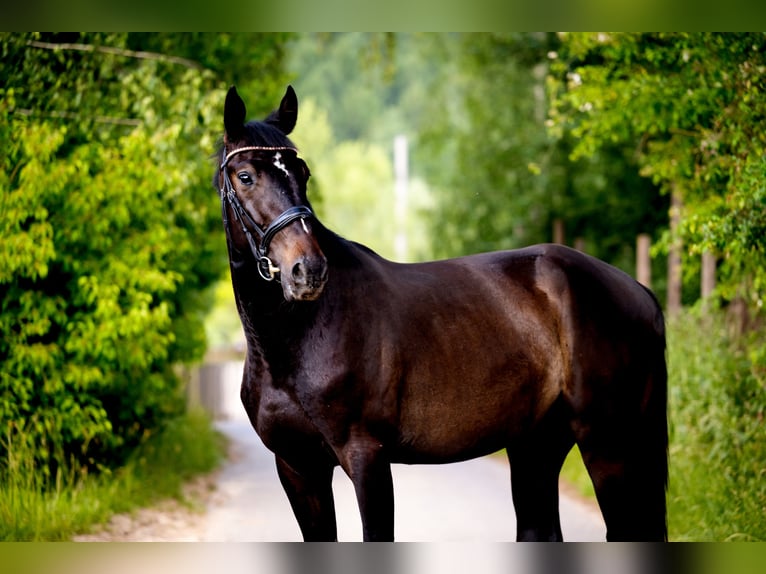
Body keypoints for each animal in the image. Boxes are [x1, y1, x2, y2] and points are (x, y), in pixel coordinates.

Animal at [215, 85, 668, 542]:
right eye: (245, 176)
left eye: (302, 172)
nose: (307, 270)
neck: (297, 340)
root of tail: (637, 290)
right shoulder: (298, 468)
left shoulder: (367, 460)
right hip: (536, 447)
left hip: (608, 447)